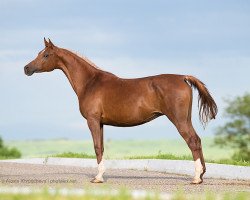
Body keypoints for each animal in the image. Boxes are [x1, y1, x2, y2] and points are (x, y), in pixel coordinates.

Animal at [24, 38, 218, 184]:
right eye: (39, 53)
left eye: (46, 55)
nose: (26, 68)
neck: (90, 82)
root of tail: (183, 77)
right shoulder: (101, 123)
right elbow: (101, 147)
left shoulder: (92, 120)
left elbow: (97, 147)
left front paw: (98, 178)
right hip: (186, 119)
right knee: (197, 140)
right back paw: (201, 175)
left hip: (179, 119)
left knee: (192, 141)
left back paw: (196, 178)